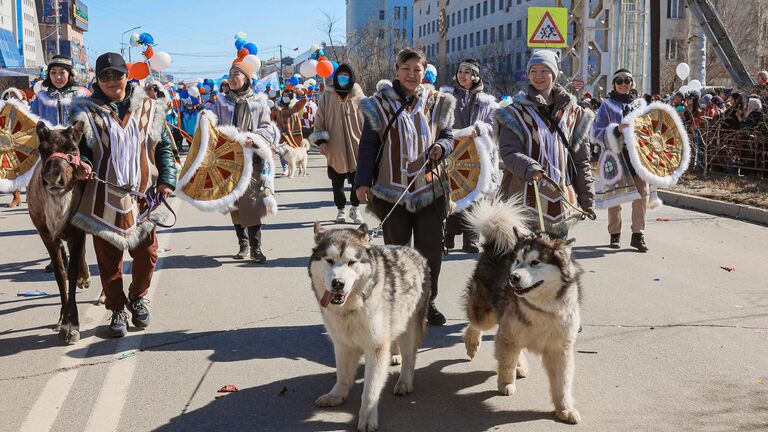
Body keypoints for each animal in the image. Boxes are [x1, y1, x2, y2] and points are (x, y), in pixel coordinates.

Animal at [310, 224, 432, 430]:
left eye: (351, 262)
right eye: (329, 260)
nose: (338, 283)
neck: (350, 308)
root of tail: (411, 250)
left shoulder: (375, 347)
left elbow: (370, 390)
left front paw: (367, 417)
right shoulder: (342, 344)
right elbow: (343, 375)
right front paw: (336, 396)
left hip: (410, 325)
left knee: (410, 357)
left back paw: (404, 381)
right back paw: (396, 355)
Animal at [462, 201, 584, 424]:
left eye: (535, 262)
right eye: (518, 261)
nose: (513, 277)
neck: (542, 307)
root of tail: (495, 246)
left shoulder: (560, 347)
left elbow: (562, 382)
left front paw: (565, 409)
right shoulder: (510, 332)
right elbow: (506, 362)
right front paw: (505, 383)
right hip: (487, 314)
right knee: (475, 324)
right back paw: (472, 343)